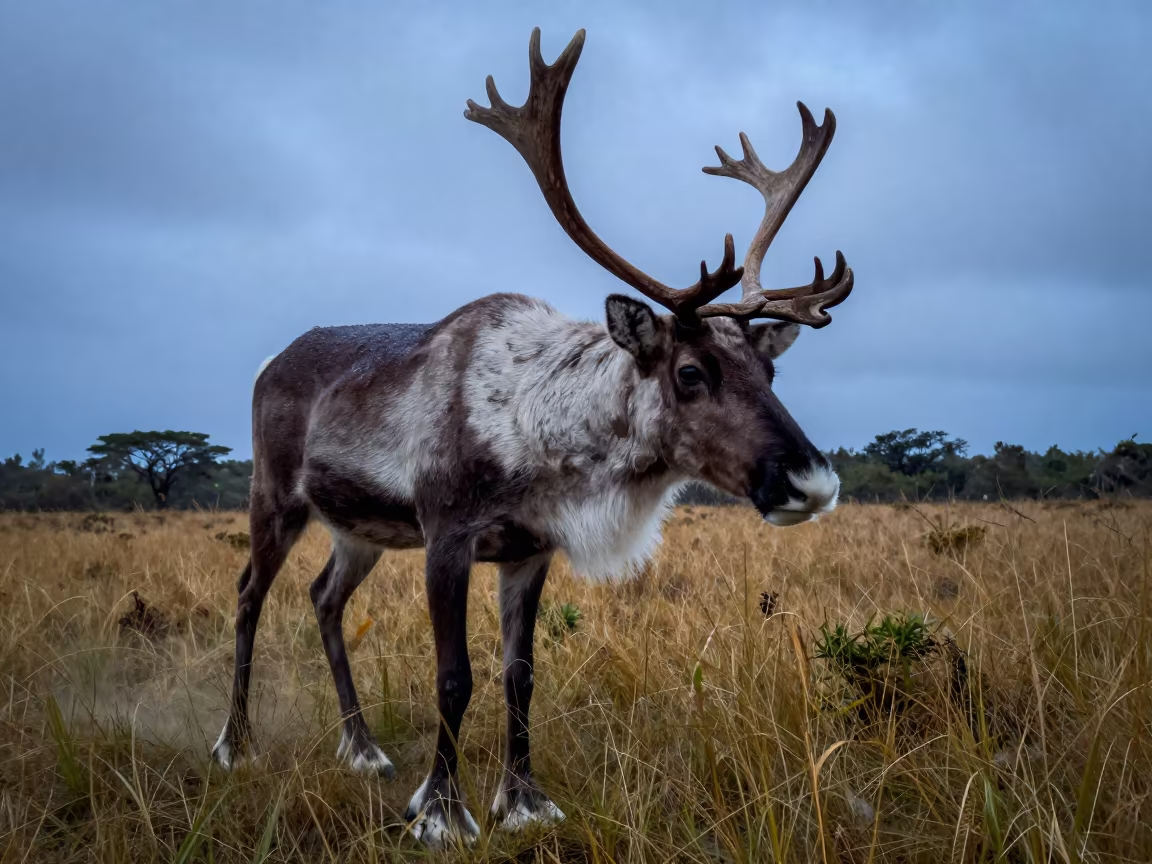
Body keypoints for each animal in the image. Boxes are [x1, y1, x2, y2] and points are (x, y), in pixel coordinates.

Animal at [212, 28, 854, 847]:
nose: (811, 480)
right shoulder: (448, 536)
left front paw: (522, 801)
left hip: (359, 530)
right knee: (248, 595)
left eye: (768, 371)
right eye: (690, 372)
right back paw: (235, 745)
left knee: (324, 598)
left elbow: (521, 675)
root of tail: (271, 361)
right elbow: (454, 677)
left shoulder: (529, 550)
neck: (541, 434)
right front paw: (440, 812)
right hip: (276, 498)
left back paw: (362, 749)